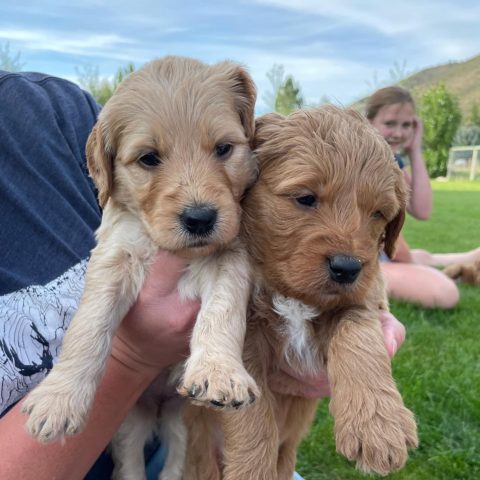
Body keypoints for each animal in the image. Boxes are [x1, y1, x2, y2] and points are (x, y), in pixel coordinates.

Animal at [183, 106, 418, 479]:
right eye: (306, 198)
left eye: (378, 213)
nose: (347, 267)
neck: (294, 296)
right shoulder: (249, 336)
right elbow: (255, 418)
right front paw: (251, 470)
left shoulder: (364, 299)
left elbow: (358, 337)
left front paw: (378, 425)